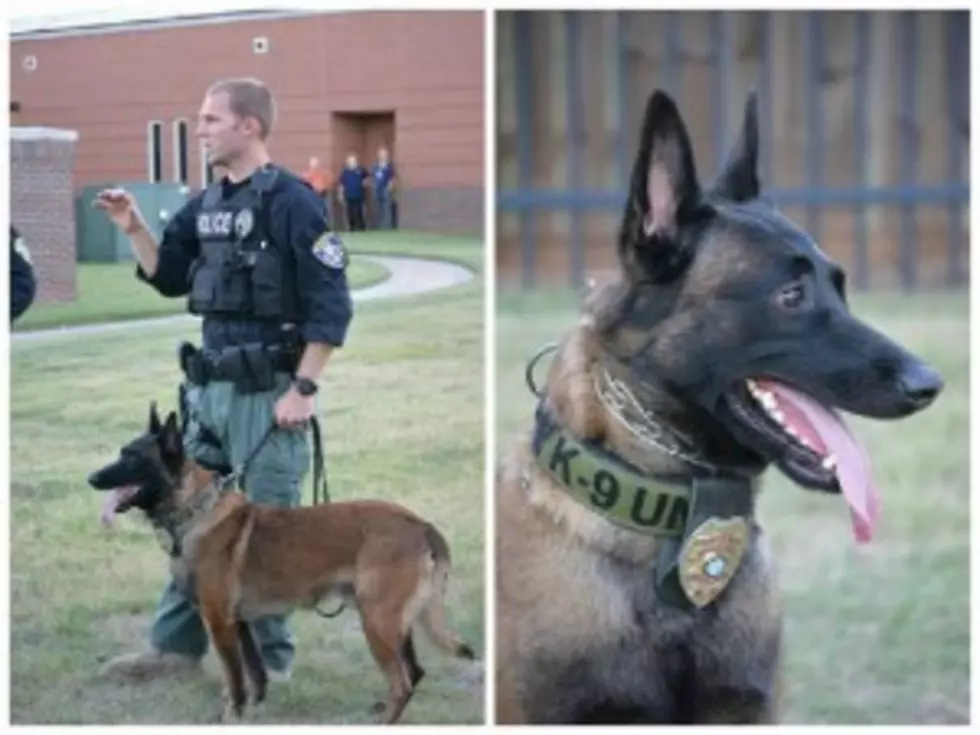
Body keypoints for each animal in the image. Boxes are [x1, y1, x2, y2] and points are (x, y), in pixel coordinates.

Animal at [89, 406, 478, 728]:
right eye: (123, 452)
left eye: (133, 457)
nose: (91, 478)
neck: (195, 509)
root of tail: (421, 524)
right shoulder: (238, 622)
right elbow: (255, 672)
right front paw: (255, 708)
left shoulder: (218, 621)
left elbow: (234, 678)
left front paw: (231, 715)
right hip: (393, 622)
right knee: (414, 671)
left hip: (377, 622)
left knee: (402, 681)